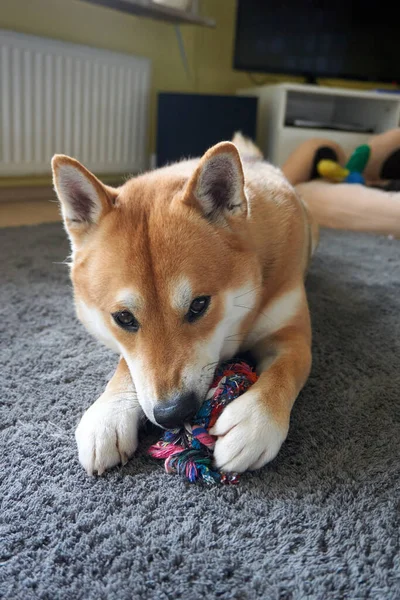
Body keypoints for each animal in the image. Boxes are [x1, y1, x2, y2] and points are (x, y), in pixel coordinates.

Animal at [51, 134, 318, 476]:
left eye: (199, 305)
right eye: (124, 318)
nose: (173, 413)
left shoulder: (291, 335)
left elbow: (286, 369)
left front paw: (255, 421)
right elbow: (127, 365)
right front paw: (108, 413)